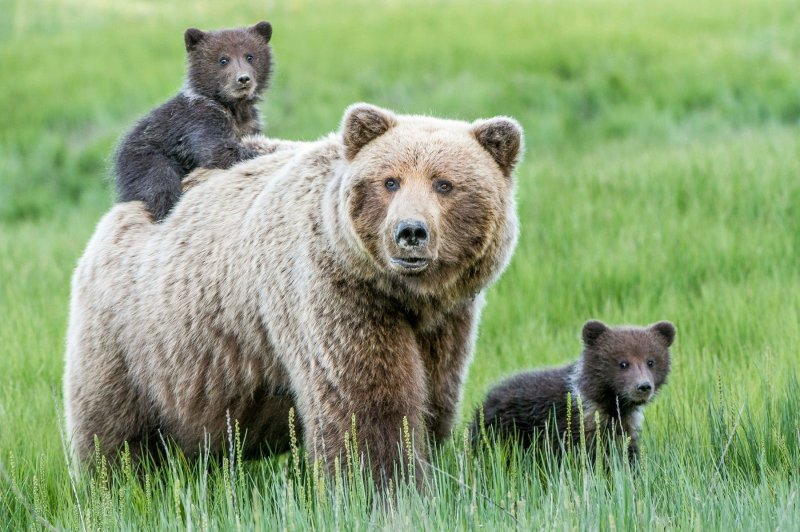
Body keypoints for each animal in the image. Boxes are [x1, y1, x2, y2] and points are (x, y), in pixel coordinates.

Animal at [64, 103, 524, 486]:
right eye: (390, 181)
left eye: (444, 184)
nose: (410, 232)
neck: (402, 294)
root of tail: (115, 213)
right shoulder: (333, 292)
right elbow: (365, 404)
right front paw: (381, 486)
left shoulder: (448, 319)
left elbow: (434, 397)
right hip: (133, 338)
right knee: (115, 431)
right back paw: (122, 486)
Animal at [476, 320, 676, 466]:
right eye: (623, 363)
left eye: (651, 361)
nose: (643, 386)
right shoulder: (571, 426)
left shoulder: (624, 427)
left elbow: (627, 454)